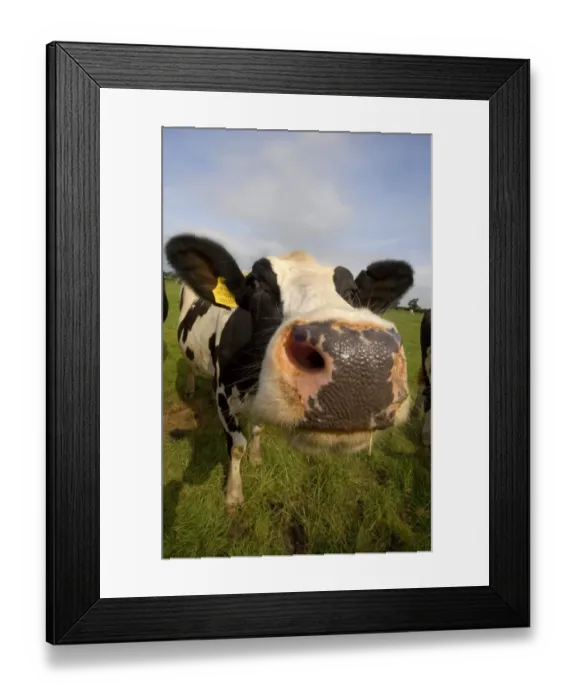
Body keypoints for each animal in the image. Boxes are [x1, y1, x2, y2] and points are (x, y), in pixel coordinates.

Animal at [165, 233, 415, 510]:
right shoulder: (223, 397)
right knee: (190, 365)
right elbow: (237, 446)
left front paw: (256, 458)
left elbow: (257, 430)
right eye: (255, 284)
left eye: (353, 292)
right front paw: (233, 494)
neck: (253, 386)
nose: (360, 363)